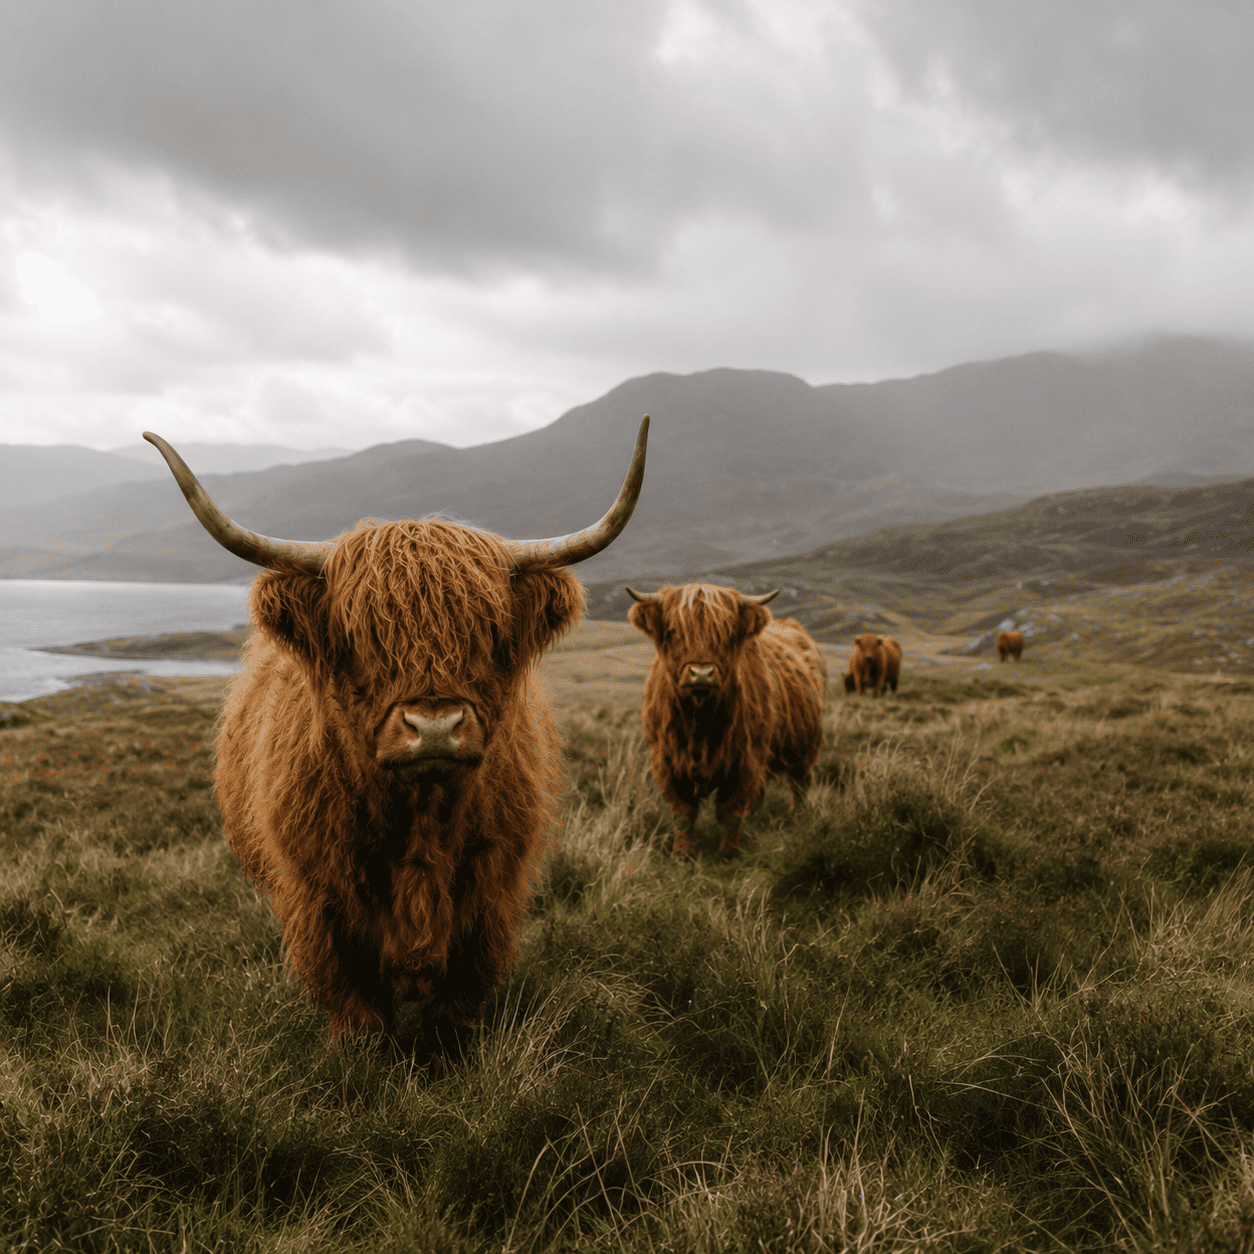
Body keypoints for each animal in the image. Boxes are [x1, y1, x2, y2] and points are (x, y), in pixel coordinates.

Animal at [144, 418, 649, 1056]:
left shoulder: (490, 906)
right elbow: (360, 1019)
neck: (421, 824)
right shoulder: (320, 906)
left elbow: (451, 1017)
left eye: (489, 634)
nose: (434, 727)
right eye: (360, 637)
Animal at [627, 584, 827, 861]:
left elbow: (730, 812)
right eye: (674, 631)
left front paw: (728, 855)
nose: (701, 674)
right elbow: (682, 814)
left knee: (800, 784)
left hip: (804, 747)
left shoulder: (745, 761)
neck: (699, 721)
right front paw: (682, 855)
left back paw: (799, 817)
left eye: (726, 633)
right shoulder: (667, 762)